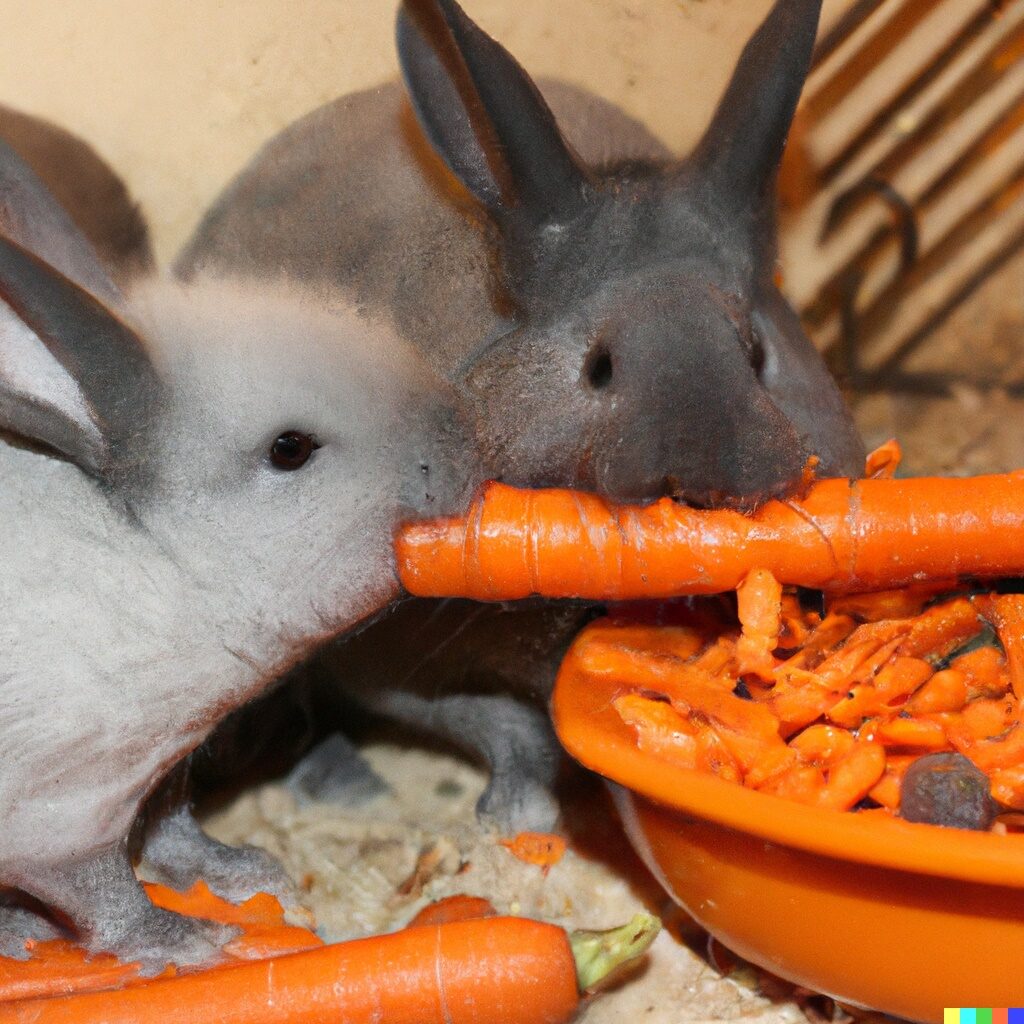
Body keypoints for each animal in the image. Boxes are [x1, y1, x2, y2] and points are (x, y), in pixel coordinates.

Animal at [0, 138, 479, 966]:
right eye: (289, 449)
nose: (469, 451)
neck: (160, 561)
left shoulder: (159, 769)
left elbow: (173, 827)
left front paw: (249, 871)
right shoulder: (62, 813)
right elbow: (105, 891)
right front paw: (191, 943)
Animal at [176, 0, 864, 831]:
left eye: (757, 351)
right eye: (597, 366)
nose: (708, 480)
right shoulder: (387, 664)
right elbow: (506, 728)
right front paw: (520, 816)